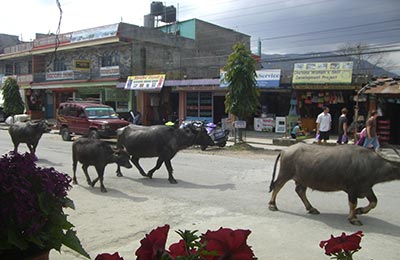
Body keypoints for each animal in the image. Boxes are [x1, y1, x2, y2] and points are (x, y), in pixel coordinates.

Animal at [268, 142, 400, 225]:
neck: (370, 165)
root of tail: (285, 150)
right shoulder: (353, 189)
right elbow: (353, 203)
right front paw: (353, 218)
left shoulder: (366, 188)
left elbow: (374, 202)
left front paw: (360, 211)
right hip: (285, 173)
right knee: (277, 186)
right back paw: (272, 205)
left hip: (302, 179)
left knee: (300, 191)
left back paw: (311, 208)